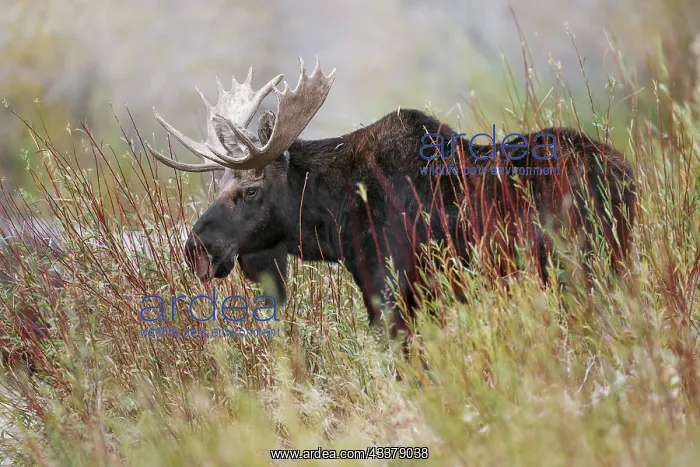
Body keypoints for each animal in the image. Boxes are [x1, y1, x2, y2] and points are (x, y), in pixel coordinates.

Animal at [144, 57, 637, 344]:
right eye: (215, 188)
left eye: (249, 190)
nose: (196, 250)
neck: (334, 223)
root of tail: (626, 175)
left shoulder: (390, 291)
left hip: (579, 267)